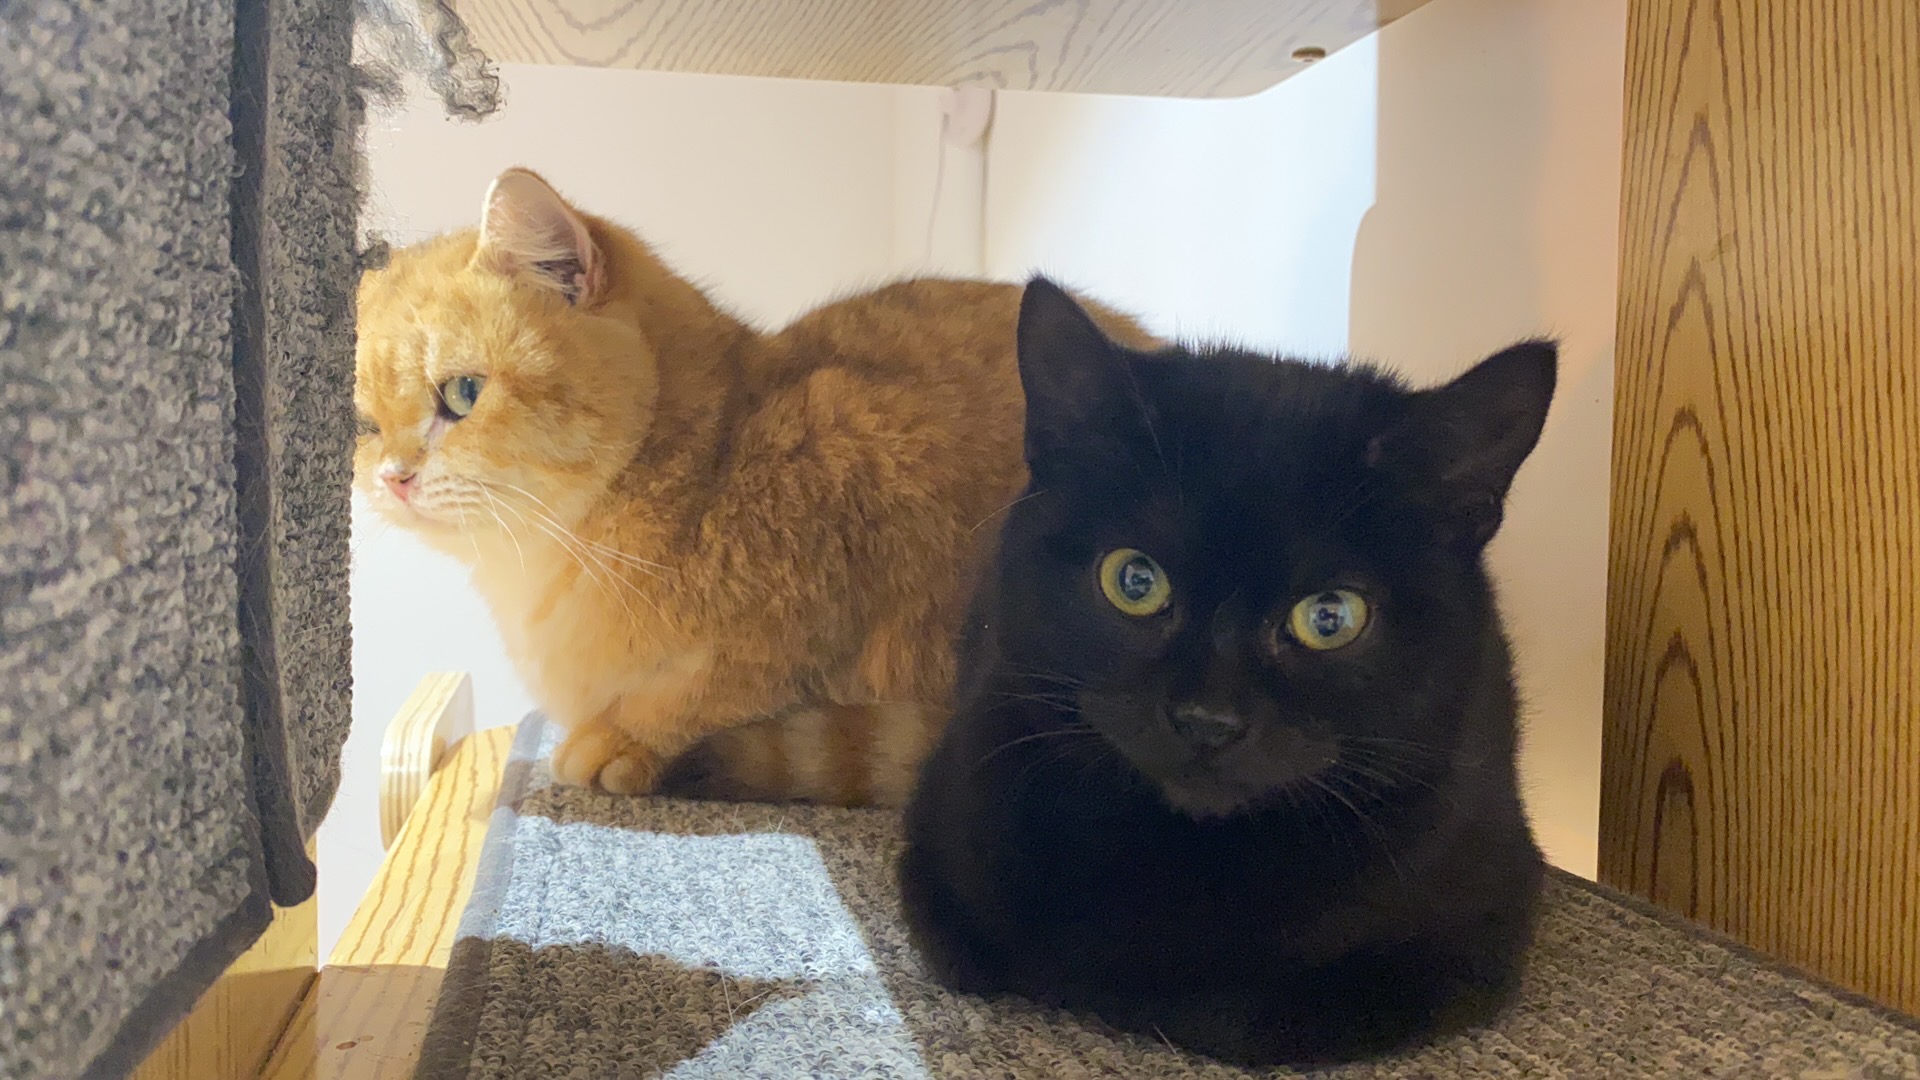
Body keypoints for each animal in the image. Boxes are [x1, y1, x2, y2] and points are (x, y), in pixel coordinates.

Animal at [353, 168, 1153, 801]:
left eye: (462, 393)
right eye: (361, 424)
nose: (395, 478)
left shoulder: (868, 479)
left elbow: (724, 685)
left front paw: (628, 737)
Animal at [898, 278, 1554, 1067]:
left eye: (1330, 617)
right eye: (1135, 580)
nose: (1208, 720)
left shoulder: (1463, 937)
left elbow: (1237, 1008)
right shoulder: (939, 842)